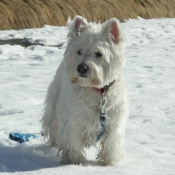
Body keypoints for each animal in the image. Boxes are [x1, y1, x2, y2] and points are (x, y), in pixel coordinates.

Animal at [41, 15, 128, 166]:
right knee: (52, 124)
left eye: (98, 53)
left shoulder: (114, 121)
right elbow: (73, 141)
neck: (97, 90)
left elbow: (111, 142)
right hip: (54, 101)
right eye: (79, 51)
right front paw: (75, 160)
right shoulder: (73, 119)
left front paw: (108, 162)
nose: (81, 68)